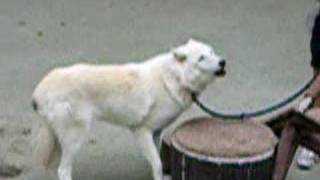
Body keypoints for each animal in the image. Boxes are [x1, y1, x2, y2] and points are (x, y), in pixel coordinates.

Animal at [31, 39, 226, 180]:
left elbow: (156, 162)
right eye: (201, 58)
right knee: (63, 171)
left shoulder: (156, 133)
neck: (176, 78)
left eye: (211, 52)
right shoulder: (142, 131)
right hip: (75, 137)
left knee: (57, 168)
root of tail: (40, 89)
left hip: (60, 140)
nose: (222, 62)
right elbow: (158, 164)